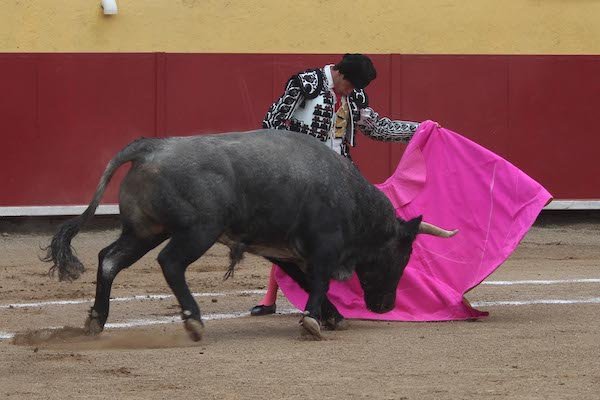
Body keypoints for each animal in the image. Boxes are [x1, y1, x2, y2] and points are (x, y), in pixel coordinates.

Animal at [44, 129, 457, 341]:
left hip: (146, 230)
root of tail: (149, 147)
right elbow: (320, 281)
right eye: (404, 253)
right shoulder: (324, 247)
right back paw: (193, 320)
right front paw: (313, 321)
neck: (351, 199)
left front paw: (332, 317)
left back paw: (97, 319)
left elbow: (306, 282)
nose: (385, 307)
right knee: (170, 262)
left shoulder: (284, 252)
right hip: (198, 230)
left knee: (110, 259)